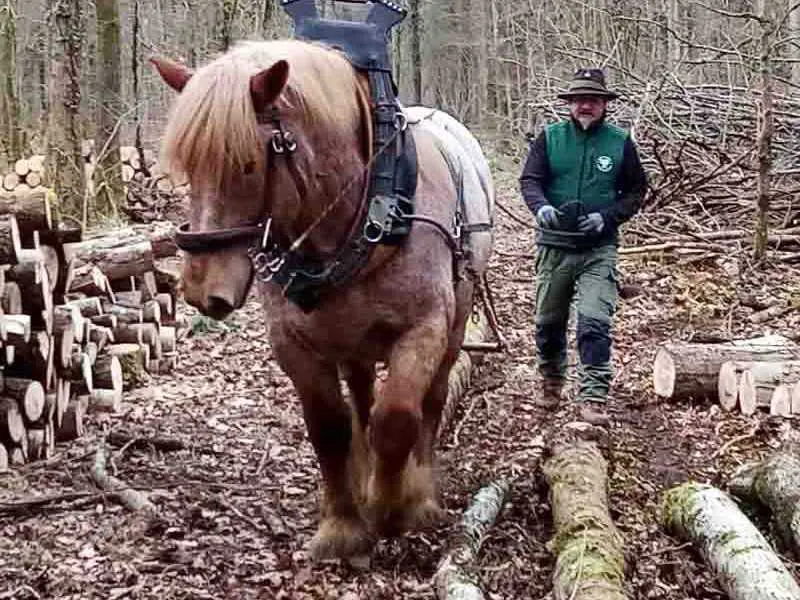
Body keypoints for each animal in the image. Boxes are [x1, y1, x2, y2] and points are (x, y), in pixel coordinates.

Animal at [151, 39, 495, 560]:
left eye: (247, 164)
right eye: (190, 168)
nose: (200, 289)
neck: (368, 215)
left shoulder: (425, 328)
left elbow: (398, 418)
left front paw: (392, 509)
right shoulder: (293, 343)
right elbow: (329, 428)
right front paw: (343, 525)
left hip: (454, 319)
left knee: (431, 401)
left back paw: (417, 492)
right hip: (351, 339)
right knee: (362, 395)